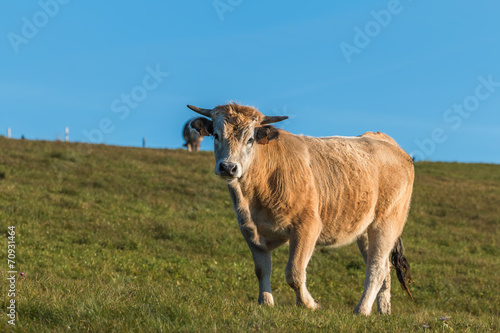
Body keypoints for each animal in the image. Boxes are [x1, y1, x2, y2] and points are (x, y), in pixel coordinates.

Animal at [188, 102, 414, 316]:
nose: (228, 167)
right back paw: (383, 312)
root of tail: (385, 140)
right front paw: (266, 303)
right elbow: (262, 270)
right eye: (216, 135)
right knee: (384, 268)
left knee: (376, 268)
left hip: (386, 223)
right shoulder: (249, 230)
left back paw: (361, 310)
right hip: (365, 230)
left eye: (250, 139)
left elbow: (294, 273)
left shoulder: (307, 226)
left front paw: (309, 304)